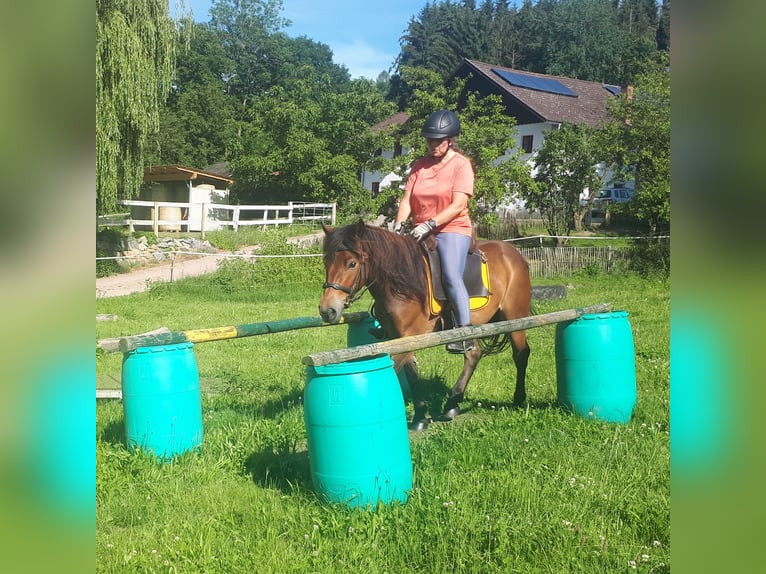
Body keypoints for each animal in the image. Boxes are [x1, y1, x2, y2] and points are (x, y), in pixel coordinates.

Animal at [320, 223, 532, 430]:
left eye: (352, 263)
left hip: (515, 318)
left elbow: (393, 369)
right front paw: (420, 417)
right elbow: (412, 374)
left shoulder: (408, 337)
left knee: (520, 354)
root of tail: (513, 252)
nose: (327, 310)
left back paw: (518, 398)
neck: (400, 285)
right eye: (326, 262)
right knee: (474, 354)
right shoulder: (399, 338)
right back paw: (452, 403)